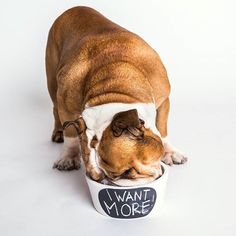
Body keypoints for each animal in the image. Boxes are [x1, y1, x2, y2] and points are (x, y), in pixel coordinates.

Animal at [45, 6, 186, 184]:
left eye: (127, 172)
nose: (106, 181)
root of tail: (74, 8)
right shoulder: (66, 106)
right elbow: (70, 133)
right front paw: (68, 157)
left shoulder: (163, 100)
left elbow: (162, 128)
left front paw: (170, 152)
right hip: (52, 80)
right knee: (55, 109)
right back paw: (58, 132)